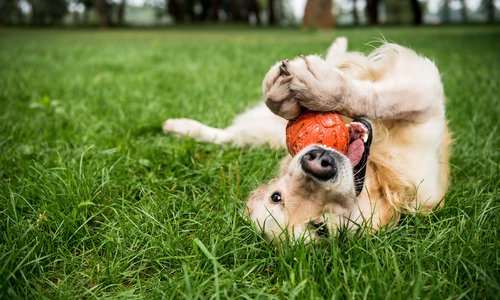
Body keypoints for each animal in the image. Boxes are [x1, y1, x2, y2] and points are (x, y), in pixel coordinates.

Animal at [162, 37, 452, 243]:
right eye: (277, 197)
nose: (318, 162)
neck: (378, 174)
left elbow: (376, 97)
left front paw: (313, 89)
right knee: (228, 136)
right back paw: (180, 127)